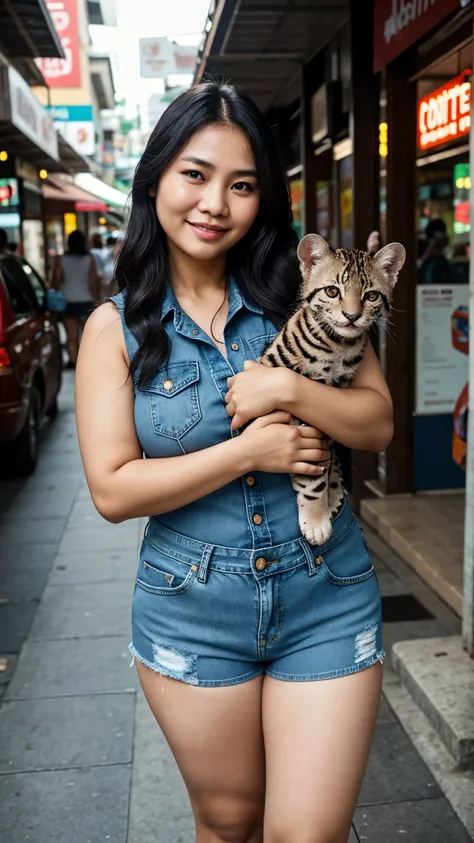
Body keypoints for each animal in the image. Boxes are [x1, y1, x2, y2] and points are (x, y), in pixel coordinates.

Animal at [262, 234, 406, 548]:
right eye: (331, 291)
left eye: (371, 296)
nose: (352, 316)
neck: (338, 346)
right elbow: (314, 477)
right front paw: (316, 520)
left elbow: (324, 464)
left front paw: (325, 501)